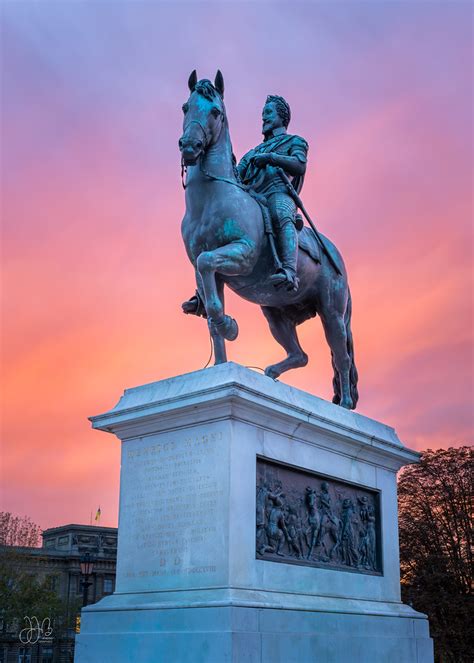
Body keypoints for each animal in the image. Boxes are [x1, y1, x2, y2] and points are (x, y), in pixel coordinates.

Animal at [180, 68, 358, 410]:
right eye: (185, 107)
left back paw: (343, 405)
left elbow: (209, 265)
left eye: (216, 112)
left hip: (332, 312)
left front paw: (230, 326)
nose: (189, 146)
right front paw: (221, 364)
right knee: (300, 355)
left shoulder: (241, 254)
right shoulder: (204, 273)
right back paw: (271, 372)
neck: (210, 198)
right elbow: (210, 310)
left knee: (341, 355)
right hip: (276, 312)